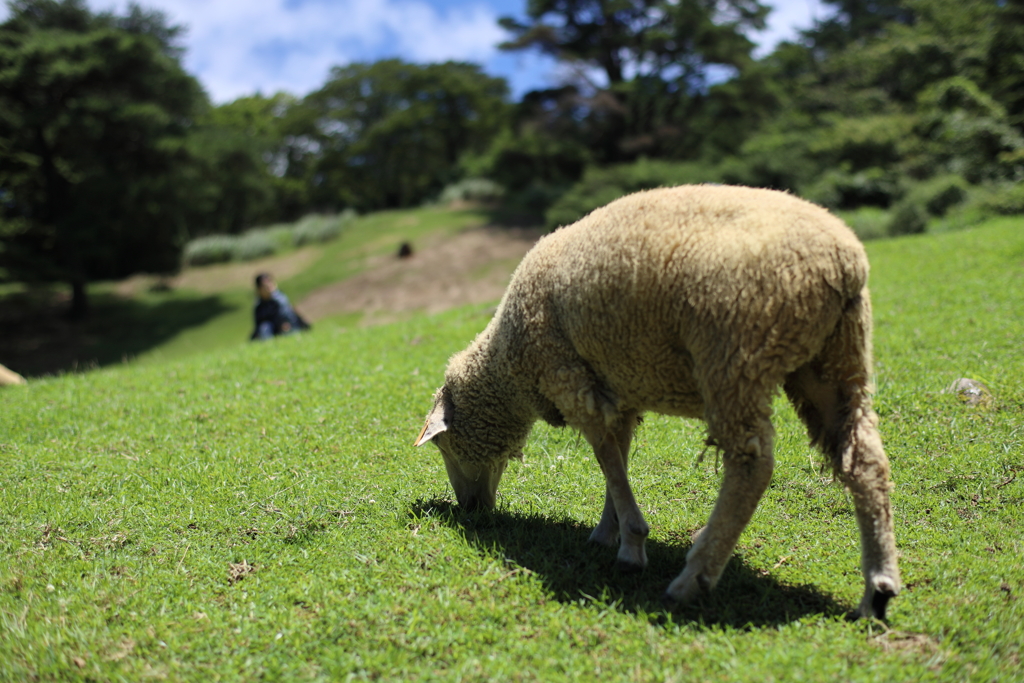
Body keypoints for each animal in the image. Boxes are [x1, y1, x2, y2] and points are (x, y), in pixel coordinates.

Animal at [411, 184, 901, 622]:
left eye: (444, 444)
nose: (470, 509)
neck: (510, 365)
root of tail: (842, 261)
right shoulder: (616, 390)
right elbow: (618, 462)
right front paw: (607, 532)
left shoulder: (573, 381)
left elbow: (606, 460)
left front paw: (632, 544)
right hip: (835, 359)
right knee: (864, 459)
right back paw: (877, 588)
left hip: (734, 352)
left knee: (752, 466)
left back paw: (692, 579)